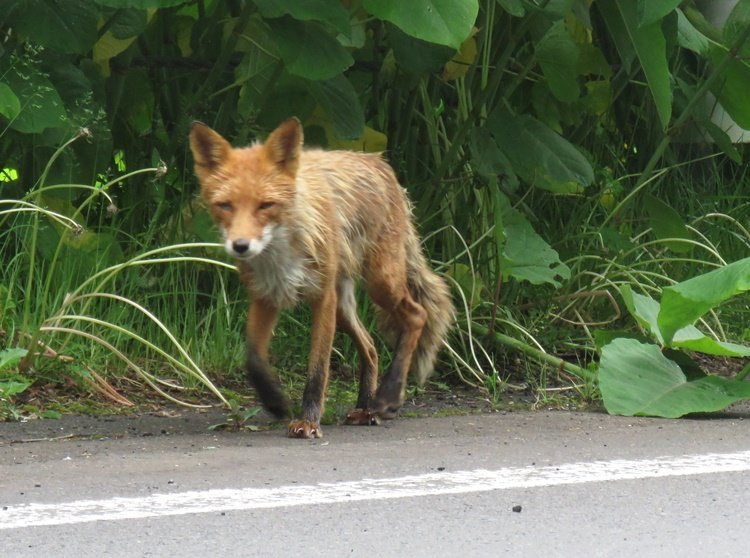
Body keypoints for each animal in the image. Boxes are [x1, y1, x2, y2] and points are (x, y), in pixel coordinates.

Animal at [191, 120, 456, 440]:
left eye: (266, 205)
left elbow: (318, 369)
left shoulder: (322, 297)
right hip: (344, 307)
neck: (281, 252)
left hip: (380, 284)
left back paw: (388, 397)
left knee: (417, 315)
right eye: (225, 206)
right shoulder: (265, 296)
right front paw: (275, 401)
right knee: (370, 346)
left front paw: (308, 422)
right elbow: (253, 358)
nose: (240, 246)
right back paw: (366, 408)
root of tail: (378, 161)